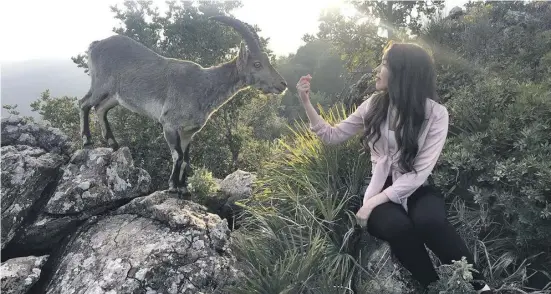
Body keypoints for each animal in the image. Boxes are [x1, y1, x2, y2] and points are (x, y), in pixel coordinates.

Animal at [82, 15, 292, 193]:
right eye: (257, 64)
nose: (283, 84)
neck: (203, 85)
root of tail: (95, 45)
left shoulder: (189, 132)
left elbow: (187, 159)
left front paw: (183, 188)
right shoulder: (169, 124)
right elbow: (178, 156)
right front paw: (173, 186)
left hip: (114, 96)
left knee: (100, 109)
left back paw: (113, 143)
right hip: (101, 85)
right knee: (85, 103)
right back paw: (87, 141)